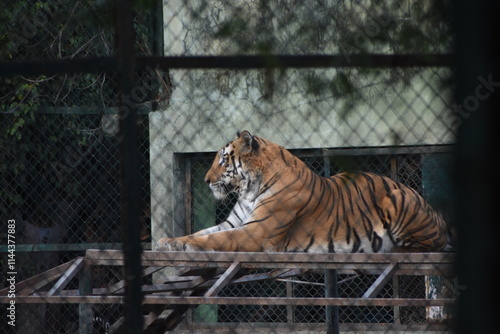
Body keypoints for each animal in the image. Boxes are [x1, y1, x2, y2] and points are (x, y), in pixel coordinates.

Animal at [156, 130, 450, 253]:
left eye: (223, 160)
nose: (206, 180)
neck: (248, 190)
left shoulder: (257, 231)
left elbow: (213, 239)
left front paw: (184, 245)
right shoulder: (234, 223)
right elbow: (202, 232)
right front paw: (169, 241)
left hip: (399, 199)